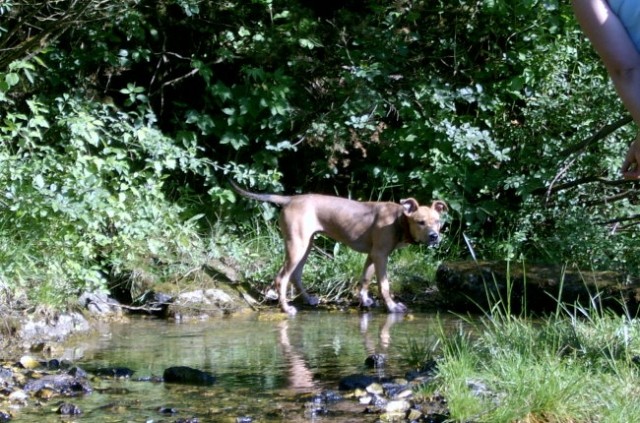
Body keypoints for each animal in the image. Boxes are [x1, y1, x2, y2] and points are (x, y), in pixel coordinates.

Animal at [231, 181, 450, 316]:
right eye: (421, 222)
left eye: (437, 222)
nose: (434, 236)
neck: (400, 220)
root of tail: (290, 199)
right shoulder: (380, 255)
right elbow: (384, 285)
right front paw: (392, 306)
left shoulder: (372, 255)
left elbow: (365, 278)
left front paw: (365, 300)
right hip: (297, 245)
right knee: (282, 278)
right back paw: (286, 308)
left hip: (306, 244)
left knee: (295, 275)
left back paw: (309, 299)